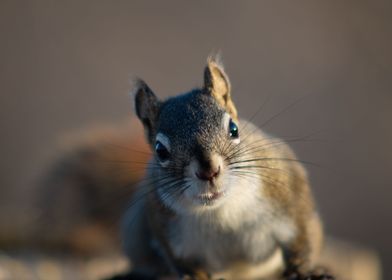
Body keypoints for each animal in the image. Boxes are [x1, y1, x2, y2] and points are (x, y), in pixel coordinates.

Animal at [118, 57, 334, 280]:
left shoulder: (290, 195)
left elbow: (302, 238)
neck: (220, 212)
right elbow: (185, 265)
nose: (209, 171)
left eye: (234, 129)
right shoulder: (168, 235)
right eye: (160, 150)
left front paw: (304, 270)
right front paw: (197, 277)